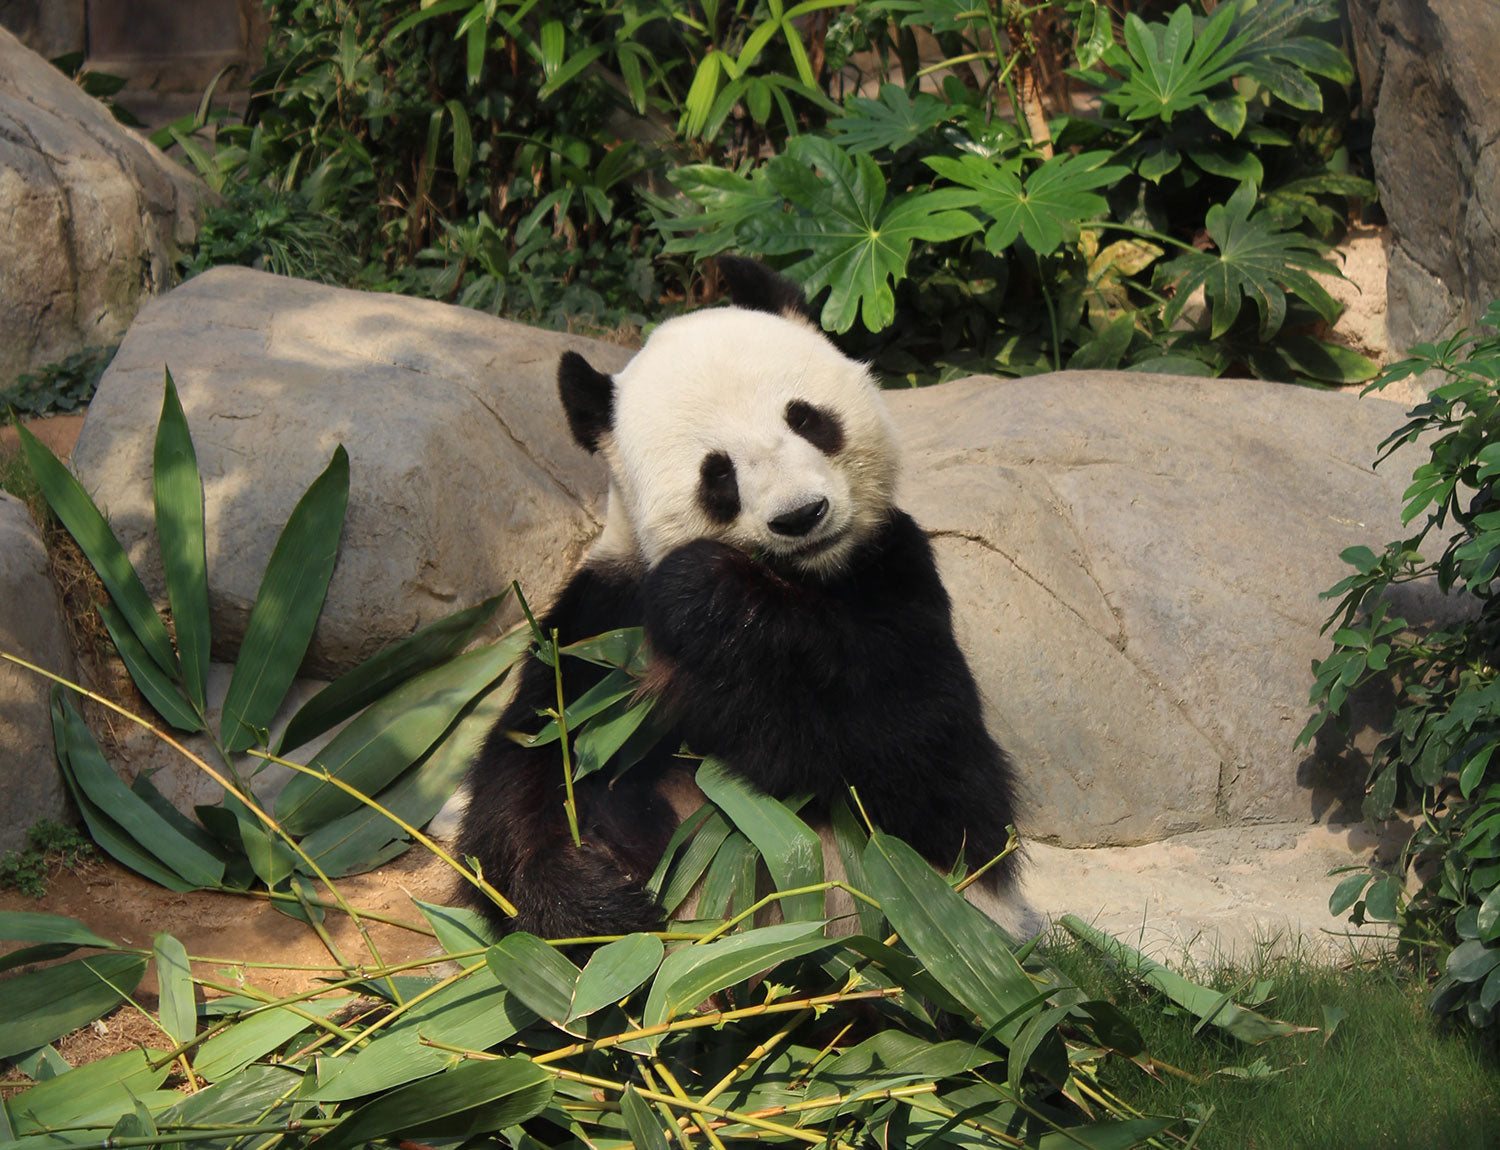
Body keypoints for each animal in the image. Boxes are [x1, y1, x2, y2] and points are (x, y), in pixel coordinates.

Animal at [456, 260, 1020, 947]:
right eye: (717, 472)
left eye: (806, 419)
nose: (802, 515)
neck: (806, 582)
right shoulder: (600, 623)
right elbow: (533, 755)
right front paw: (588, 901)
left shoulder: (897, 573)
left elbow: (929, 764)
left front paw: (707, 595)